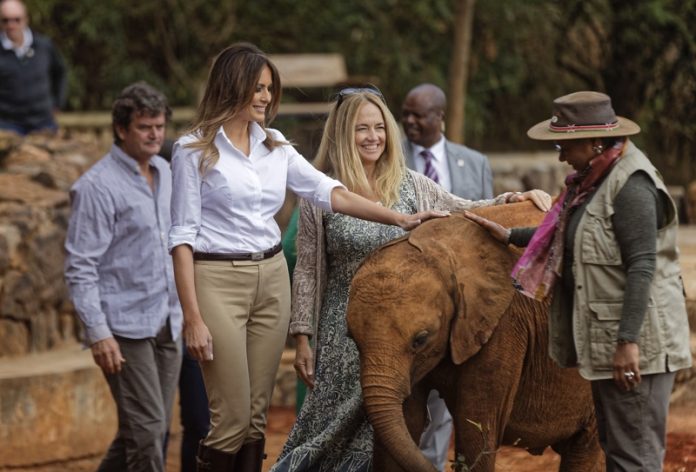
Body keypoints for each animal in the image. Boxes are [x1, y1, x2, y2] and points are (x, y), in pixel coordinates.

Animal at [348, 204, 604, 472]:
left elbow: (476, 433)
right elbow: (407, 422)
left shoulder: (503, 325)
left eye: (420, 340)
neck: (439, 251)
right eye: (352, 339)